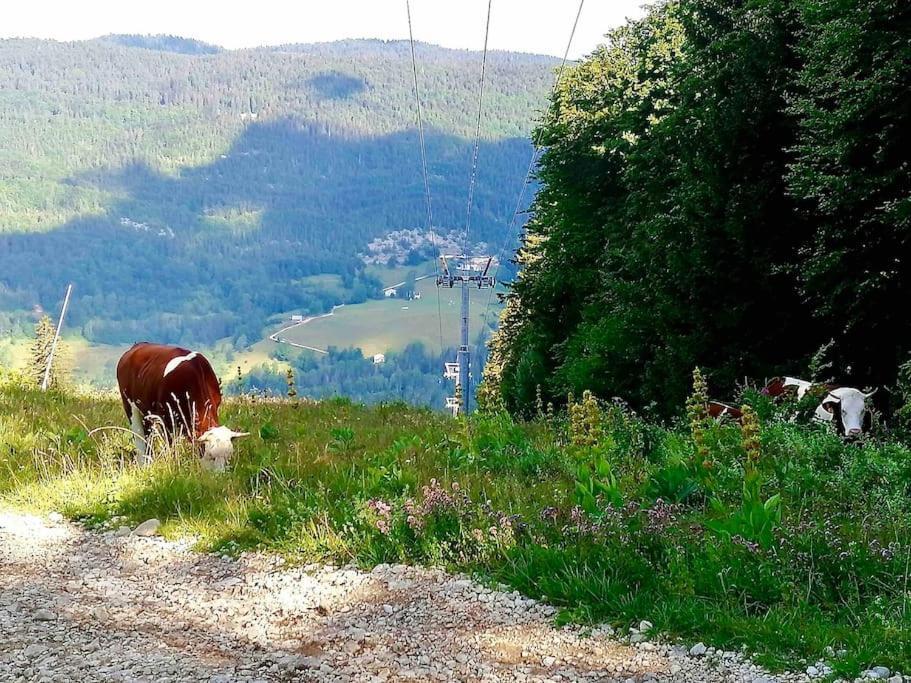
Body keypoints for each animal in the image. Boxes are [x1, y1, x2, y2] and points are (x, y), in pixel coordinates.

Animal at [116, 342, 249, 470]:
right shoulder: (167, 420)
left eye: (228, 457)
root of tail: (137, 346)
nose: (219, 475)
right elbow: (171, 447)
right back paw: (143, 464)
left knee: (147, 437)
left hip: (146, 413)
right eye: (211, 456)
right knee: (140, 437)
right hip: (130, 407)